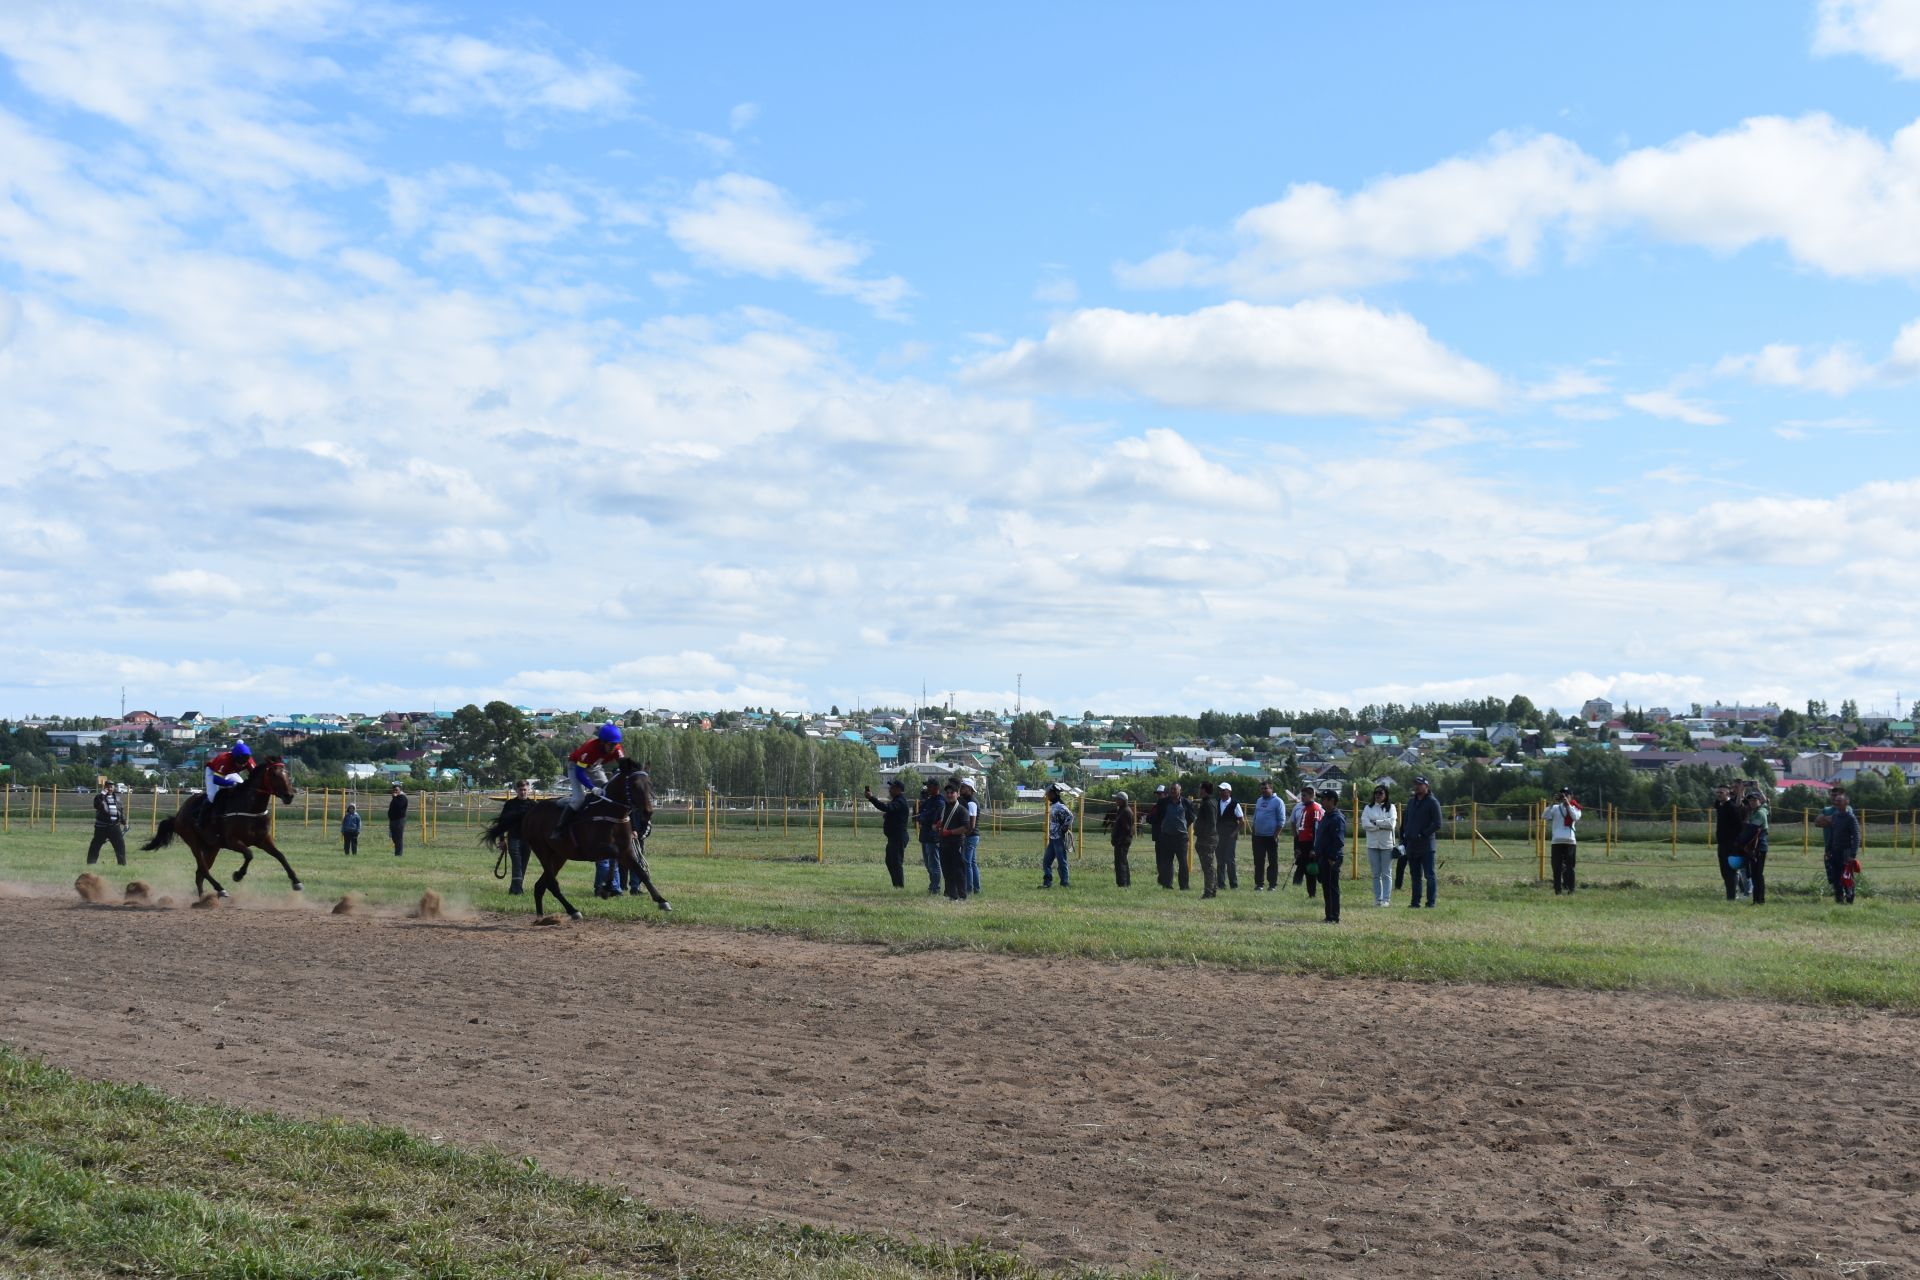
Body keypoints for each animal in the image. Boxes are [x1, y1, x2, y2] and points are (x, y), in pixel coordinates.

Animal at [139, 759, 299, 901]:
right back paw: (220, 889)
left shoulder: (263, 840)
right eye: (274, 774)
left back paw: (203, 900)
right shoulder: (232, 841)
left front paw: (296, 882)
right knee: (203, 869)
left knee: (199, 874)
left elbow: (280, 856)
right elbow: (249, 854)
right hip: (194, 842)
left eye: (287, 774)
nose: (289, 795)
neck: (250, 807)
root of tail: (178, 815)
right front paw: (238, 875)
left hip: (212, 848)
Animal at [480, 759, 660, 921]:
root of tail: (529, 812)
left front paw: (661, 900)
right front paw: (606, 888)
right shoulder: (592, 850)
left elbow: (641, 871)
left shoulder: (626, 849)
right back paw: (573, 911)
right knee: (552, 884)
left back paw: (540, 917)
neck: (610, 811)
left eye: (650, 784)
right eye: (635, 785)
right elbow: (613, 855)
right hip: (542, 851)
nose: (648, 812)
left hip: (559, 856)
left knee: (540, 885)